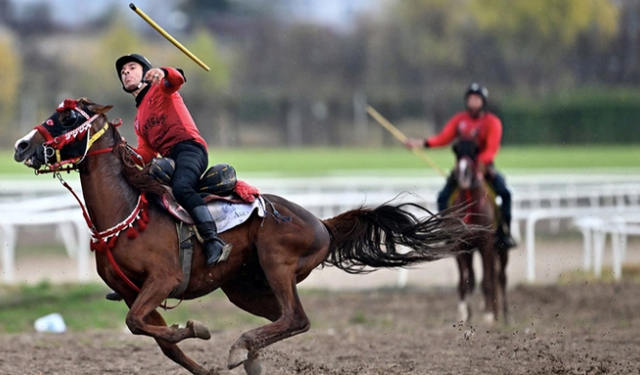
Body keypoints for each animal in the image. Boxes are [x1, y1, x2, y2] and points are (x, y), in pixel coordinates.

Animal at [12, 99, 482, 375]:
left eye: (68, 117)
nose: (20, 146)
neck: (129, 212)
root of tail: (321, 223)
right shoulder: (132, 292)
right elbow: (152, 336)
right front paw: (197, 356)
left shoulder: (162, 280)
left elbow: (147, 328)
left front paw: (197, 328)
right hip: (244, 287)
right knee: (282, 320)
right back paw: (252, 356)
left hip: (277, 262)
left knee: (296, 318)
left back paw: (241, 348)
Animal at [450, 140, 510, 324]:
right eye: (457, 152)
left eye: (475, 152)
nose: (463, 173)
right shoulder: (460, 246)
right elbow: (465, 281)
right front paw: (464, 313)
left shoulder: (486, 244)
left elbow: (487, 281)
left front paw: (488, 314)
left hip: (502, 249)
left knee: (501, 277)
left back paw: (504, 315)